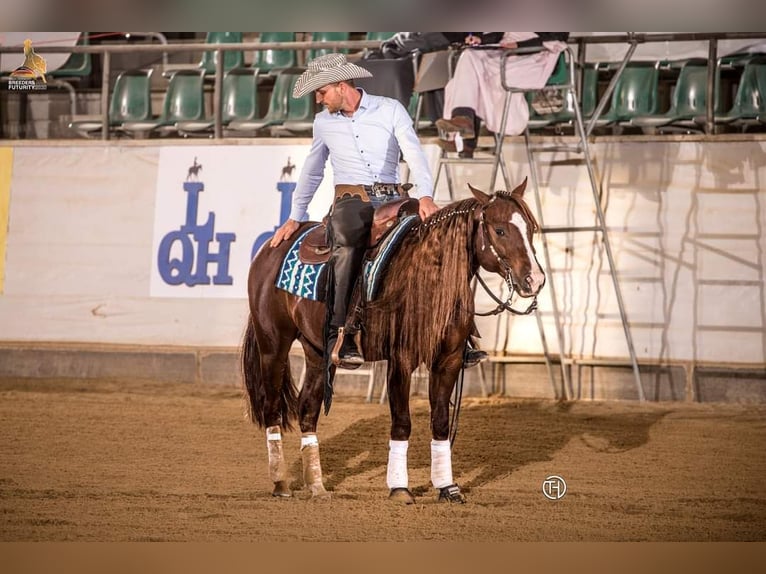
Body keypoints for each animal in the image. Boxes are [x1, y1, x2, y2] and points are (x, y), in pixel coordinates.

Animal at [242, 179, 544, 504]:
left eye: (530, 228)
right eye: (499, 230)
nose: (535, 280)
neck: (427, 275)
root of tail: (269, 250)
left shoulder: (448, 359)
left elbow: (440, 422)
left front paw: (447, 487)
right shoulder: (401, 359)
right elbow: (402, 422)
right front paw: (399, 487)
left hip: (317, 352)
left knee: (307, 411)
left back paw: (317, 487)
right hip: (273, 344)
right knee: (272, 407)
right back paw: (281, 482)